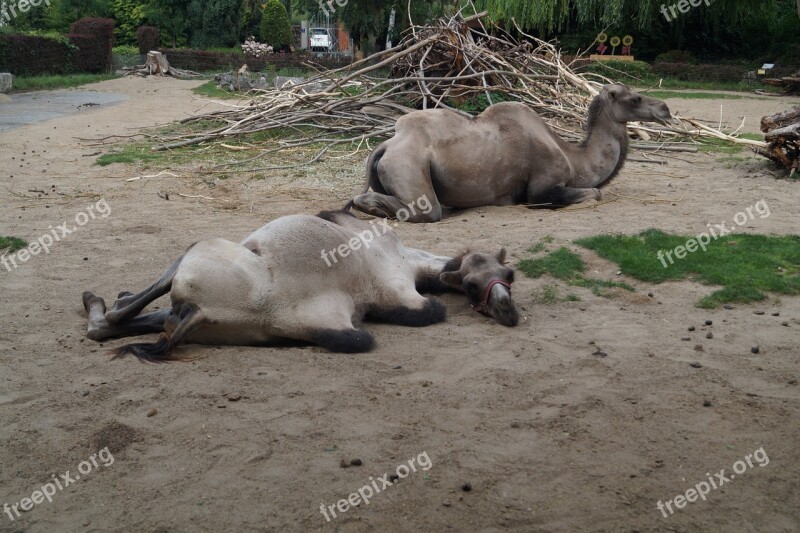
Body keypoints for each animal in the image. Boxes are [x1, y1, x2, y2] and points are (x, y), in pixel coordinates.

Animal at [81, 210, 520, 360]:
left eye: (509, 277)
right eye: (472, 285)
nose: (507, 310)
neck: (408, 263)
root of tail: (201, 313)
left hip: (199, 267)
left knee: (121, 320)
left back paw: (99, 303)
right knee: (132, 314)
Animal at [350, 83, 676, 220]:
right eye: (635, 98)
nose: (666, 109)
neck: (573, 159)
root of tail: (386, 145)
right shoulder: (542, 186)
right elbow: (594, 192)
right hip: (408, 166)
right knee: (427, 210)